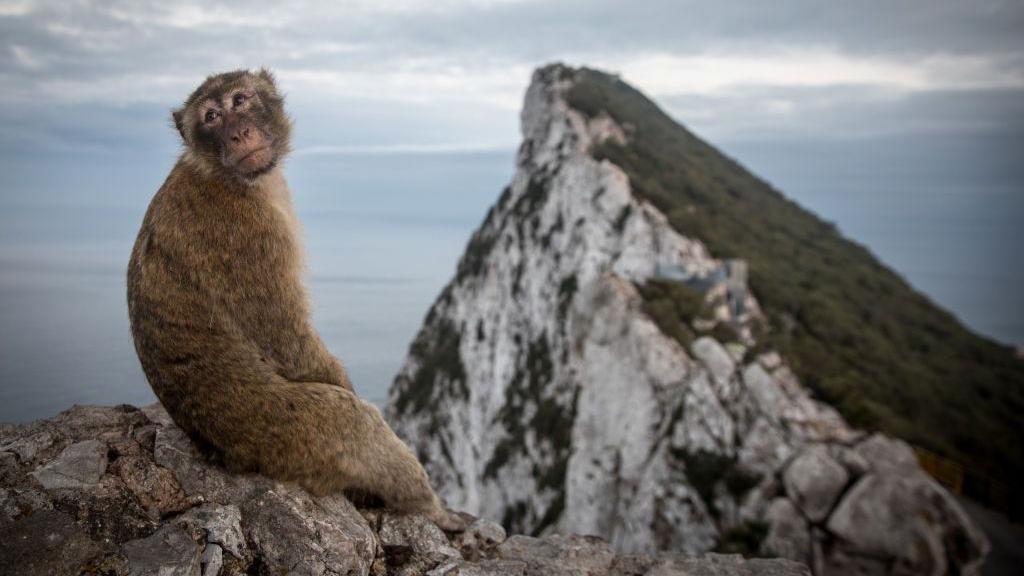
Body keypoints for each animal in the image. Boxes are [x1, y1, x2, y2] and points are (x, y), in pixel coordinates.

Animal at [127, 69, 465, 531]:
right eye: (212, 116)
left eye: (240, 100)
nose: (238, 133)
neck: (224, 176)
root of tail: (223, 452)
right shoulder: (249, 236)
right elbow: (288, 344)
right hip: (287, 437)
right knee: (354, 424)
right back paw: (427, 506)